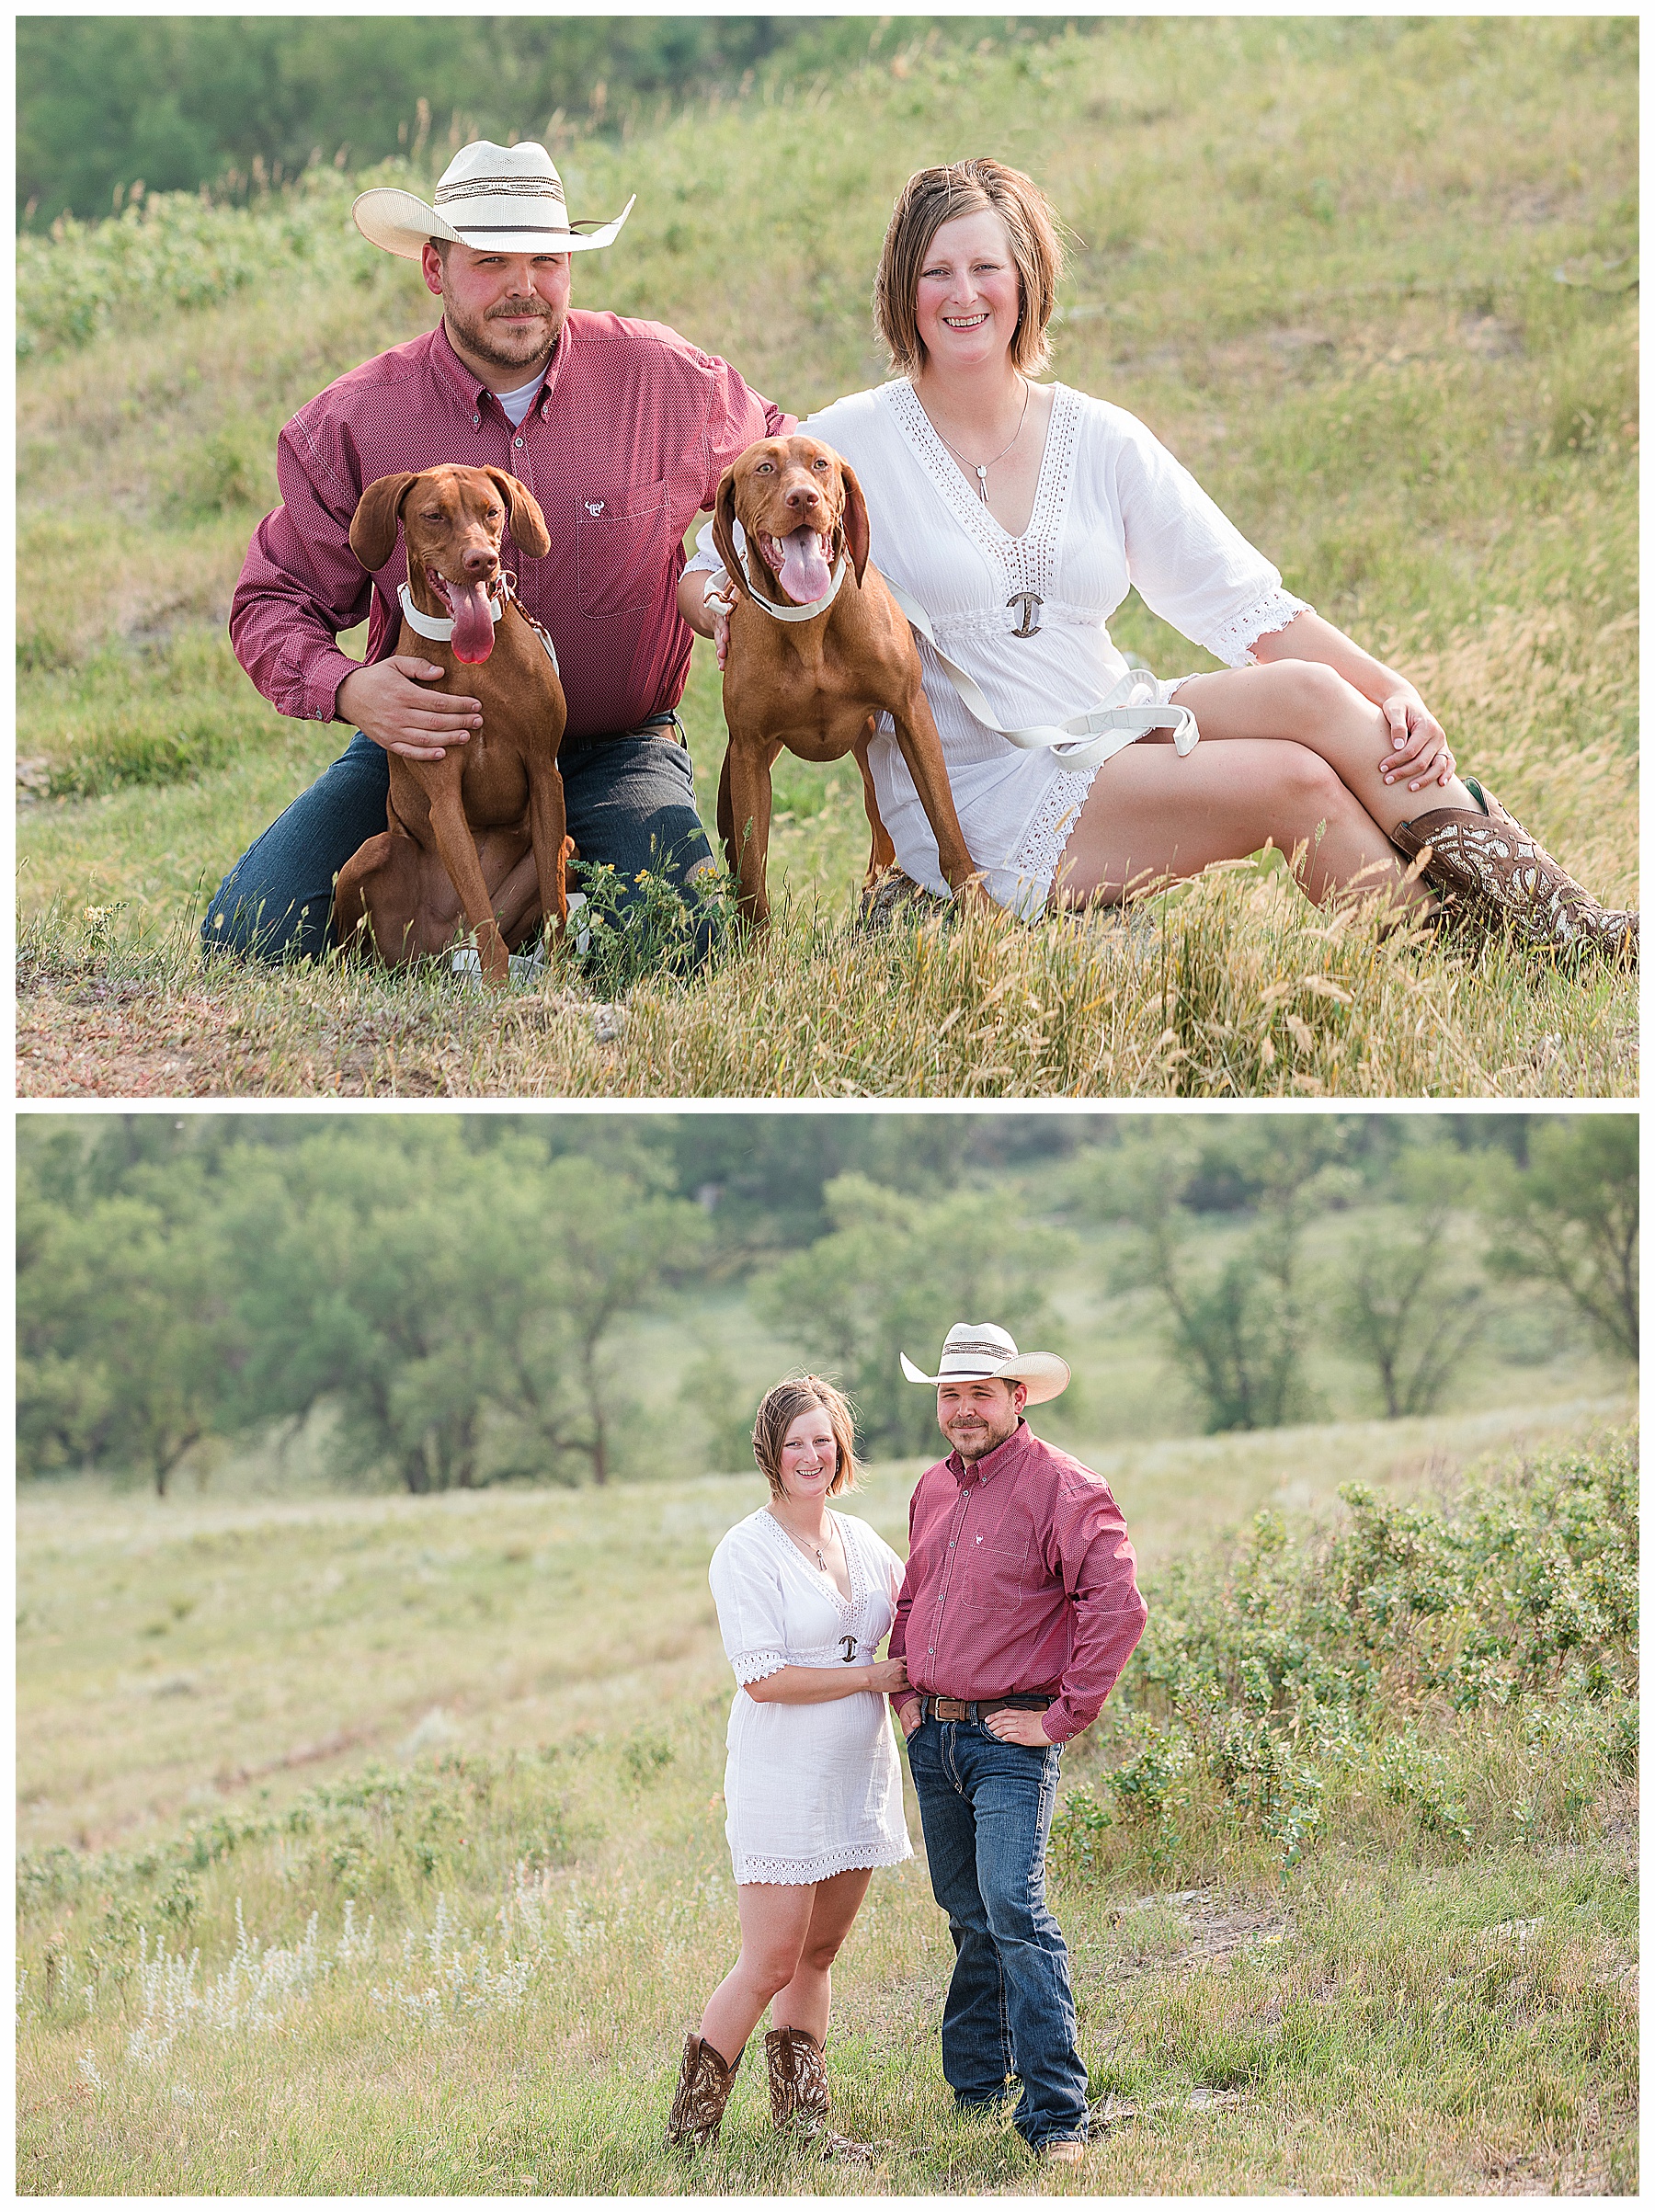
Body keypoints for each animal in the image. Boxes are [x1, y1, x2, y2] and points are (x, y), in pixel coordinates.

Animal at [331, 466, 570, 986]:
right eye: (434, 516)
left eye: (492, 512)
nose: (482, 561)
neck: (472, 663)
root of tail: (435, 955)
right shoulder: (445, 801)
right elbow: (481, 910)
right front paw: (499, 987)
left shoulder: (545, 776)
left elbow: (556, 905)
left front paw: (562, 978)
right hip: (371, 855)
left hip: (565, 843)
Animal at [712, 431, 982, 924]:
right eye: (764, 468)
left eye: (820, 464)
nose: (804, 498)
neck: (809, 623)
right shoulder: (749, 753)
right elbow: (753, 877)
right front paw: (756, 942)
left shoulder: (910, 713)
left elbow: (948, 832)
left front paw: (981, 912)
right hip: (732, 780)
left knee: (882, 833)